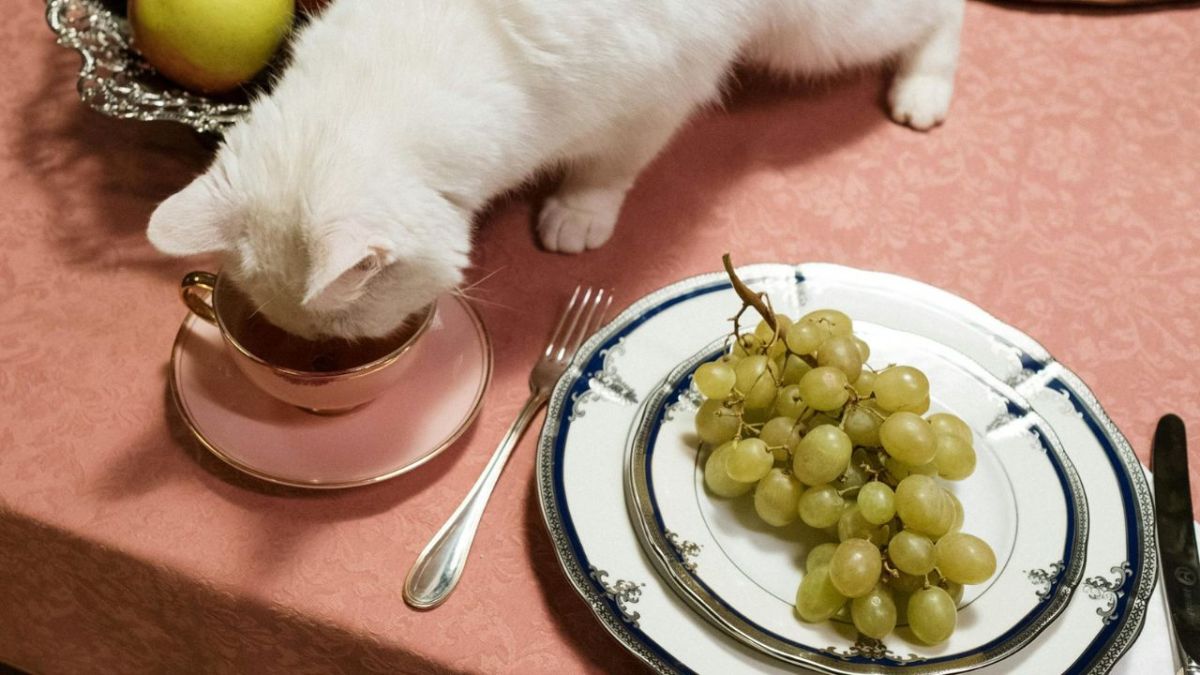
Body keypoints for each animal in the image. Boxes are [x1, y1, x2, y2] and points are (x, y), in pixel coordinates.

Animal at [145, 0, 964, 338]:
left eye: (342, 328)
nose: (341, 352)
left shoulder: (660, 95)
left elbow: (611, 167)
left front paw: (579, 213)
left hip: (821, 33)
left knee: (943, 13)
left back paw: (923, 90)